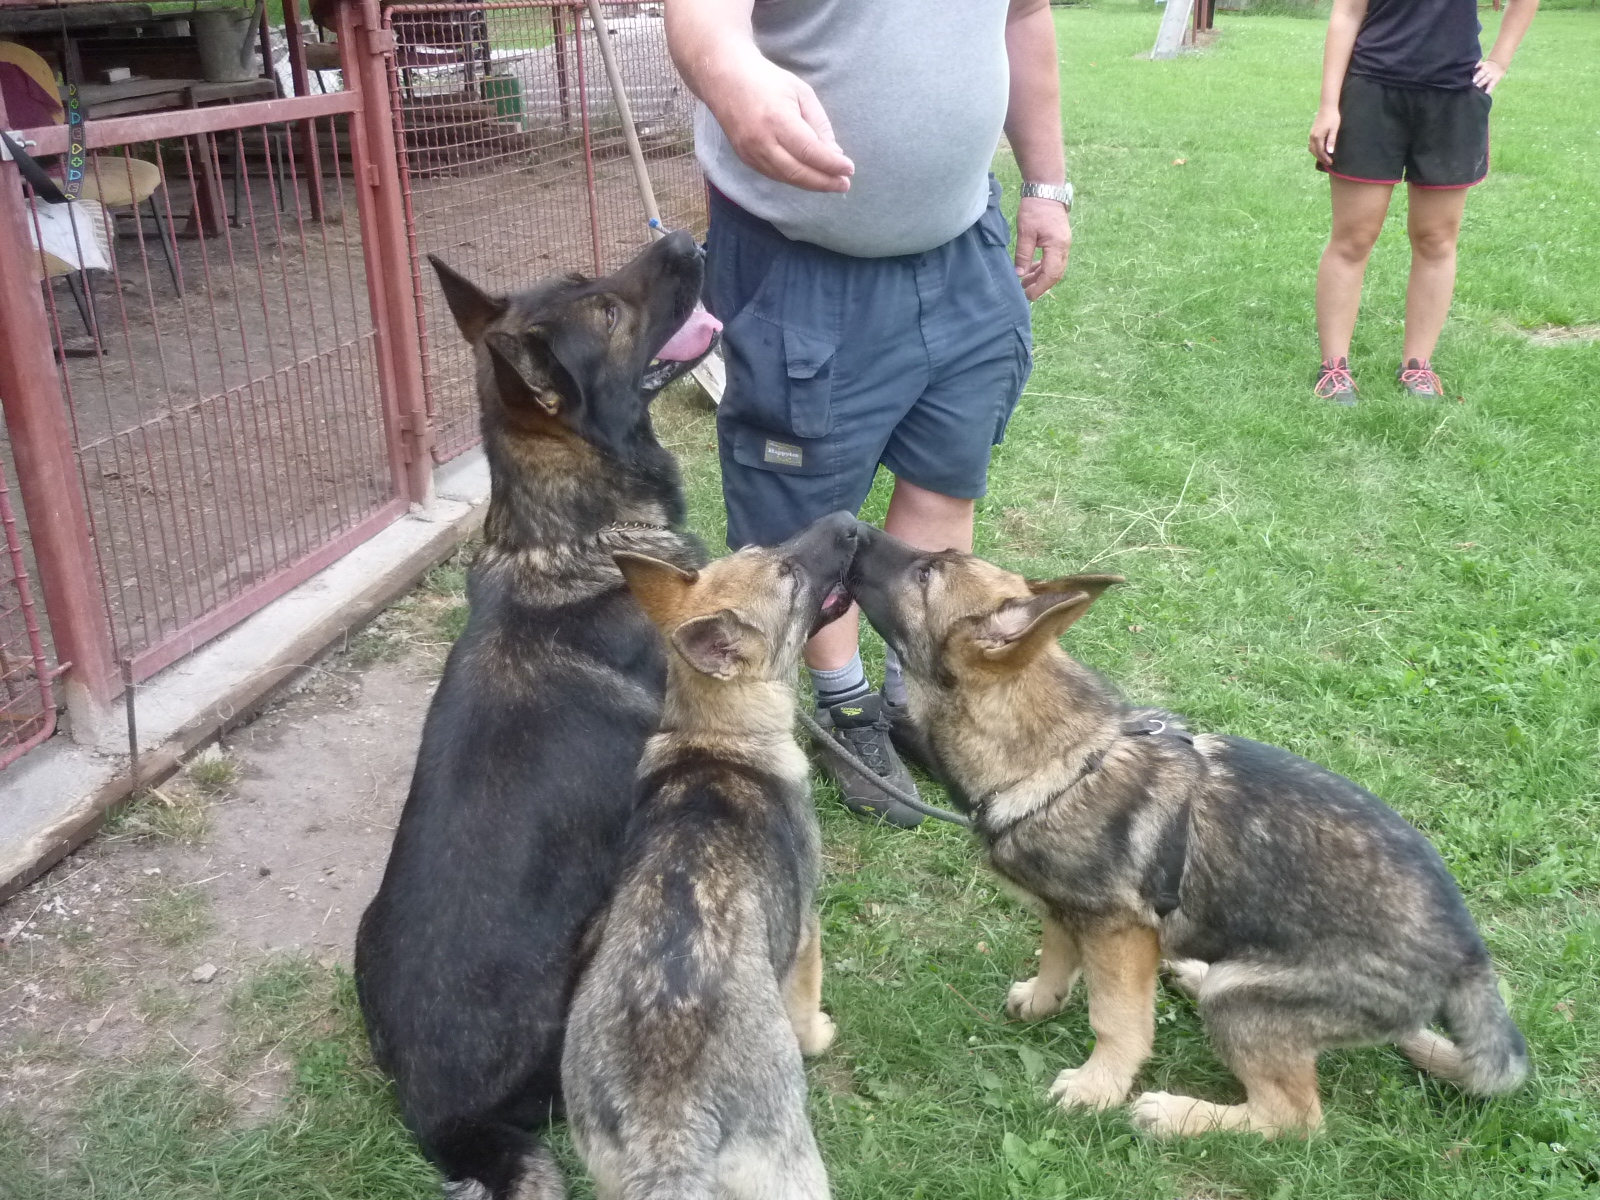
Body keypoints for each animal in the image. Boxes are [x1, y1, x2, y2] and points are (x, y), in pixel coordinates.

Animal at [560, 511, 859, 1200]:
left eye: (763, 549)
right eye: (789, 577)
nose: (848, 521)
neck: (715, 736)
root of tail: (670, 1126)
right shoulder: (807, 932)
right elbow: (807, 1008)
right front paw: (820, 1035)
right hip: (795, 1170)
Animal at [847, 526, 1528, 1139]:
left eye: (927, 573)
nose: (847, 527)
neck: (1057, 757)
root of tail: (1468, 958)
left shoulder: (1118, 933)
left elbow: (1115, 1019)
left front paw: (1099, 1086)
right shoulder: (1068, 910)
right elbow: (1056, 956)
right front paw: (1042, 1001)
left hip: (1246, 1000)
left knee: (1294, 1119)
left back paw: (1178, 1115)